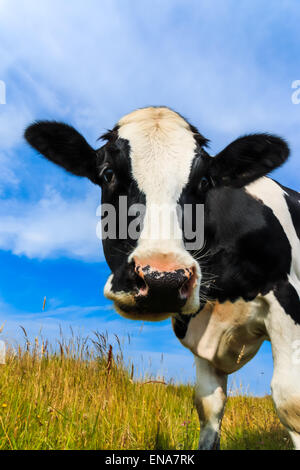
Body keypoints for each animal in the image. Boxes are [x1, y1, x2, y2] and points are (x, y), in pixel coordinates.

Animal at [25, 107, 300, 452]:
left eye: (204, 181)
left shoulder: (285, 297)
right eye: (107, 174)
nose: (162, 279)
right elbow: (208, 405)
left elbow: (289, 401)